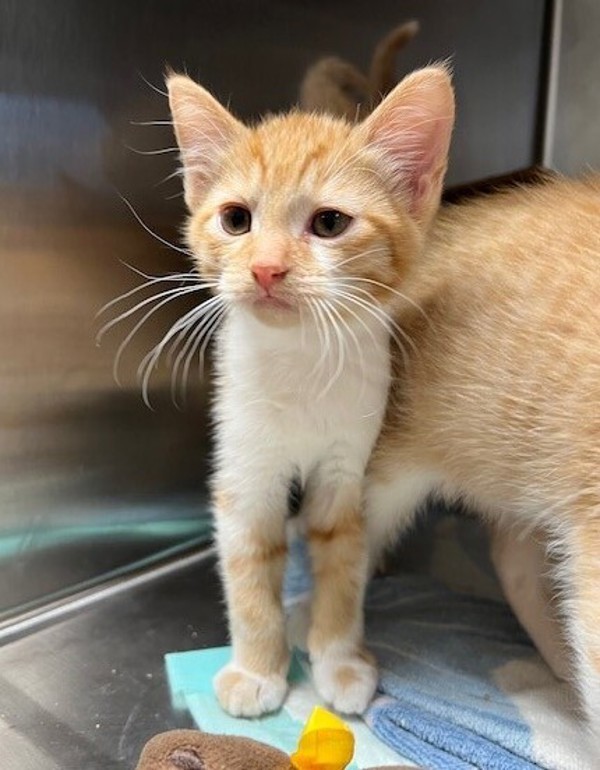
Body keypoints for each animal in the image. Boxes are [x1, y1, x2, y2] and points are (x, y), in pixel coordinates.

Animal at [166, 69, 452, 716]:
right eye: (236, 219)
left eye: (329, 224)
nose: (266, 269)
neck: (298, 363)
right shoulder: (245, 468)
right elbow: (249, 565)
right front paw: (257, 669)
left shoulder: (348, 468)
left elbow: (342, 557)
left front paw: (339, 659)